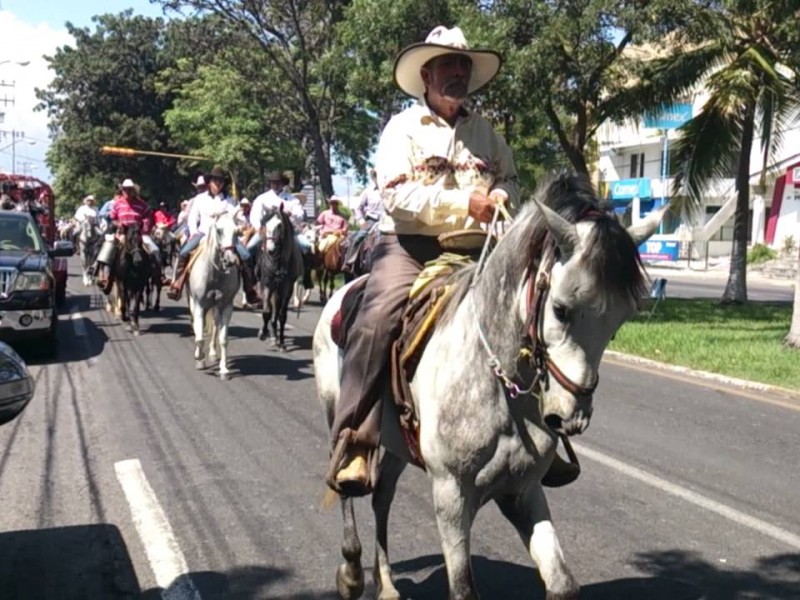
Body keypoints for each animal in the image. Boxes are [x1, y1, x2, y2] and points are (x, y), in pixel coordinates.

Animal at [188, 211, 241, 380]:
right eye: (219, 230)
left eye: (237, 231)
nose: (230, 260)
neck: (215, 274)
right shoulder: (199, 304)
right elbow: (199, 337)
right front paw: (199, 358)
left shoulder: (226, 306)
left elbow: (223, 338)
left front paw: (224, 369)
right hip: (194, 303)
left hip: (215, 307)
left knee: (216, 325)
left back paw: (211, 353)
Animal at [258, 207, 304, 352]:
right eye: (265, 224)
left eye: (280, 225)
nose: (270, 250)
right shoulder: (268, 284)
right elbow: (266, 311)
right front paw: (263, 333)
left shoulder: (287, 287)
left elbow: (282, 315)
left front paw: (282, 343)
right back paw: (272, 336)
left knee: (277, 312)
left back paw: (276, 337)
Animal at [316, 176, 664, 600]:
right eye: (560, 309)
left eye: (619, 321)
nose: (572, 416)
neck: (496, 384)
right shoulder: (450, 494)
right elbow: (463, 587)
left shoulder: (522, 491)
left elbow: (562, 582)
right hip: (339, 415)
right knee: (348, 482)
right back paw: (352, 572)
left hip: (397, 442)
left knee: (382, 496)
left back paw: (386, 585)